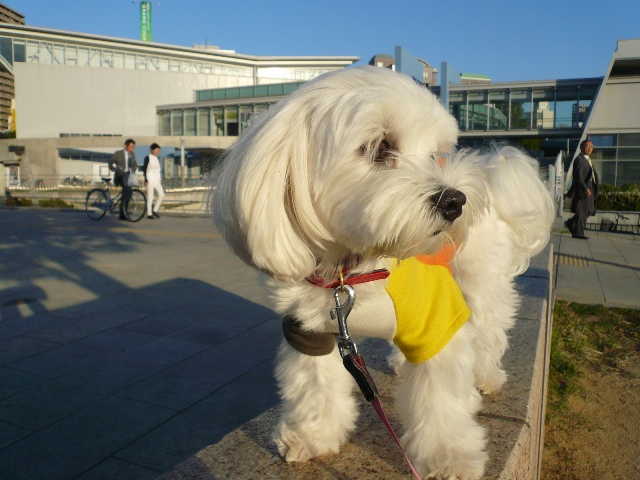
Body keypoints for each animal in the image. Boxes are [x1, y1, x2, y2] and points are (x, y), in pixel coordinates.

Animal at [212, 66, 554, 479]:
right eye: (380, 148)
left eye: (434, 155)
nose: (455, 201)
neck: (355, 269)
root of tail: (489, 169)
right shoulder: (309, 328)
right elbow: (315, 383)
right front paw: (313, 435)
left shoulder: (437, 318)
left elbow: (441, 392)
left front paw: (449, 455)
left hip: (479, 277)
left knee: (487, 325)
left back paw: (485, 375)